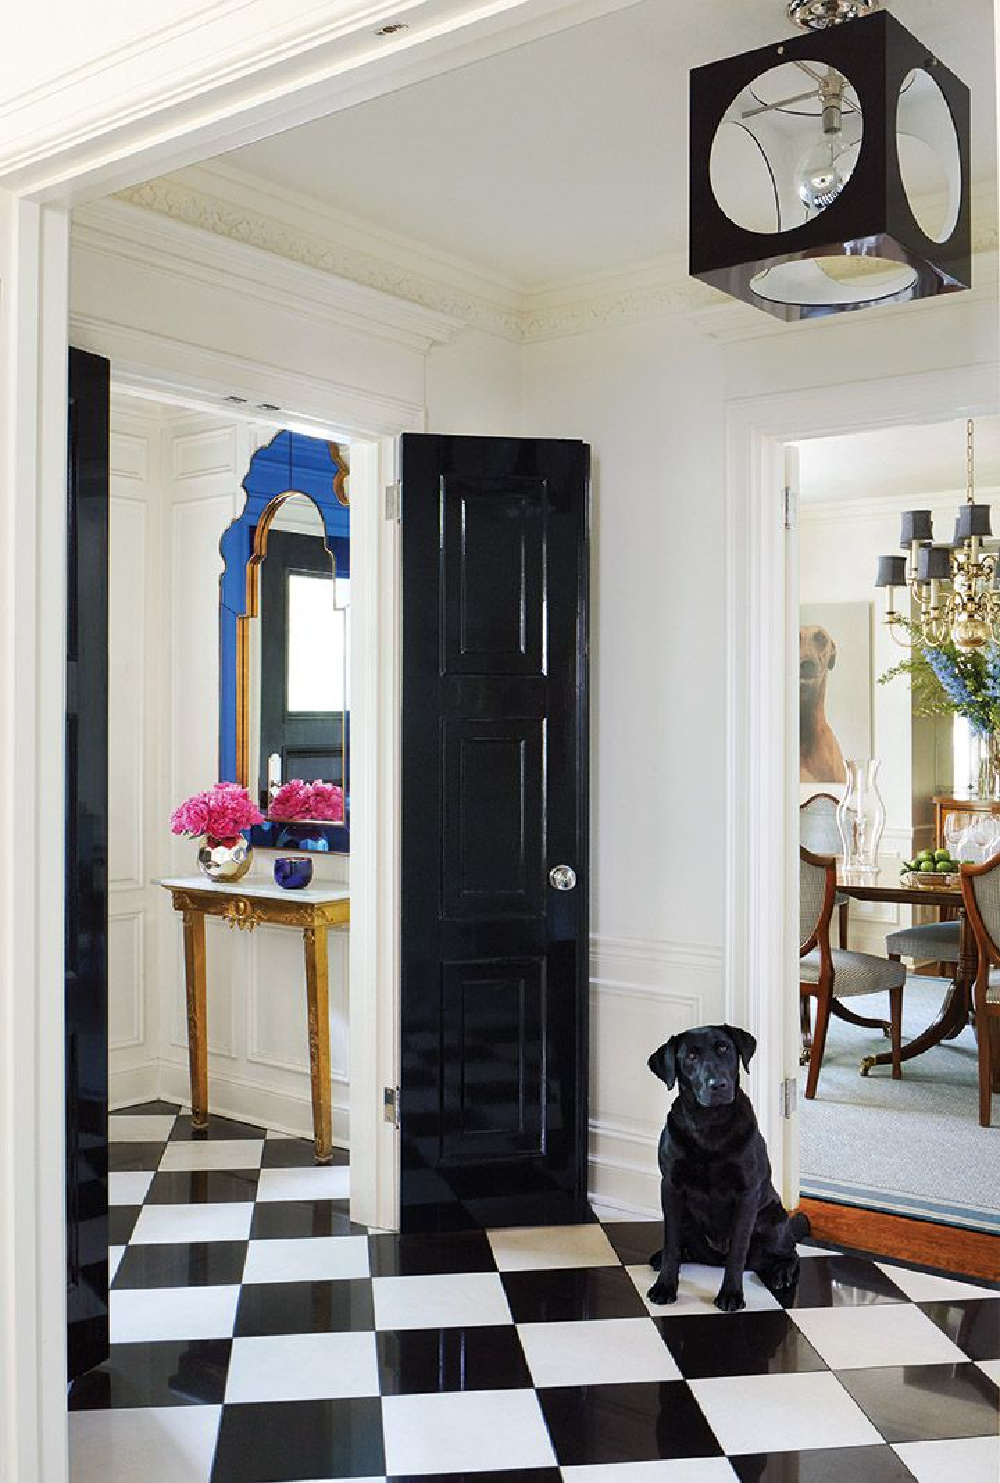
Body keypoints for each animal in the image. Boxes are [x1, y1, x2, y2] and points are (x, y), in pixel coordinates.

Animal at [646, 1026, 801, 1316]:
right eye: (691, 1056)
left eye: (724, 1049)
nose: (717, 1085)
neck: (709, 1125)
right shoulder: (671, 1187)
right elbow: (671, 1243)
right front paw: (665, 1286)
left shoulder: (747, 1193)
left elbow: (738, 1251)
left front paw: (730, 1294)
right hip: (688, 1220)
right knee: (682, 1247)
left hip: (772, 1220)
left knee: (789, 1253)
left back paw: (781, 1273)